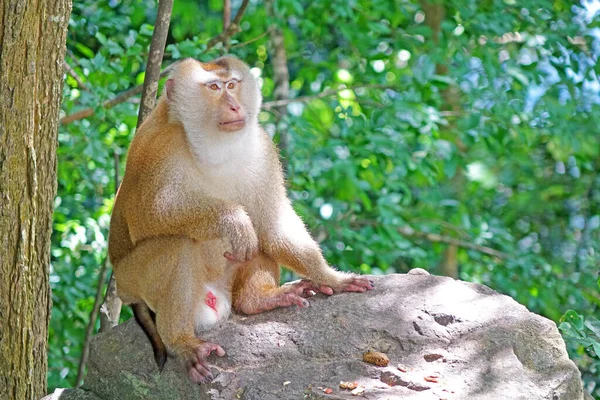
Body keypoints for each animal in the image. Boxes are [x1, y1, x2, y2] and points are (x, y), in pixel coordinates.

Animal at [107, 56, 370, 384]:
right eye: (214, 88)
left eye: (232, 84)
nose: (234, 106)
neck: (212, 148)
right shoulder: (159, 148)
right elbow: (150, 213)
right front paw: (231, 219)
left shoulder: (263, 147)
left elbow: (272, 222)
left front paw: (331, 278)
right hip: (130, 279)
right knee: (178, 245)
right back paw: (182, 342)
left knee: (258, 239)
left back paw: (258, 299)